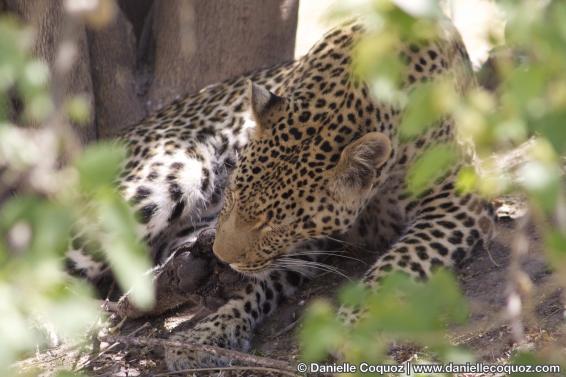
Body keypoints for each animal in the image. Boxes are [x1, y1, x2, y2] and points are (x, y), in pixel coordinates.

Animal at [69, 16, 496, 368]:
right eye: (231, 197)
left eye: (275, 223)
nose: (223, 256)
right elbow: (254, 285)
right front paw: (206, 334)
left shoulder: (457, 202)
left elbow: (398, 263)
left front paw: (353, 325)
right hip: (171, 175)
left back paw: (182, 273)